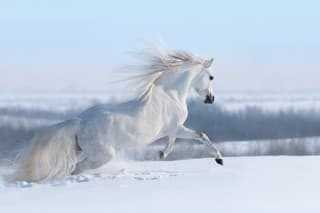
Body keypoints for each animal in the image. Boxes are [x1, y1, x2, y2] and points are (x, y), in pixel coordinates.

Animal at [11, 47, 222, 182]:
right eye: (211, 77)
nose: (211, 99)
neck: (170, 94)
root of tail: (80, 121)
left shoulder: (174, 129)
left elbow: (198, 136)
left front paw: (218, 159)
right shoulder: (175, 128)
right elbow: (194, 137)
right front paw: (218, 159)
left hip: (82, 151)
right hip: (102, 156)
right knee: (76, 169)